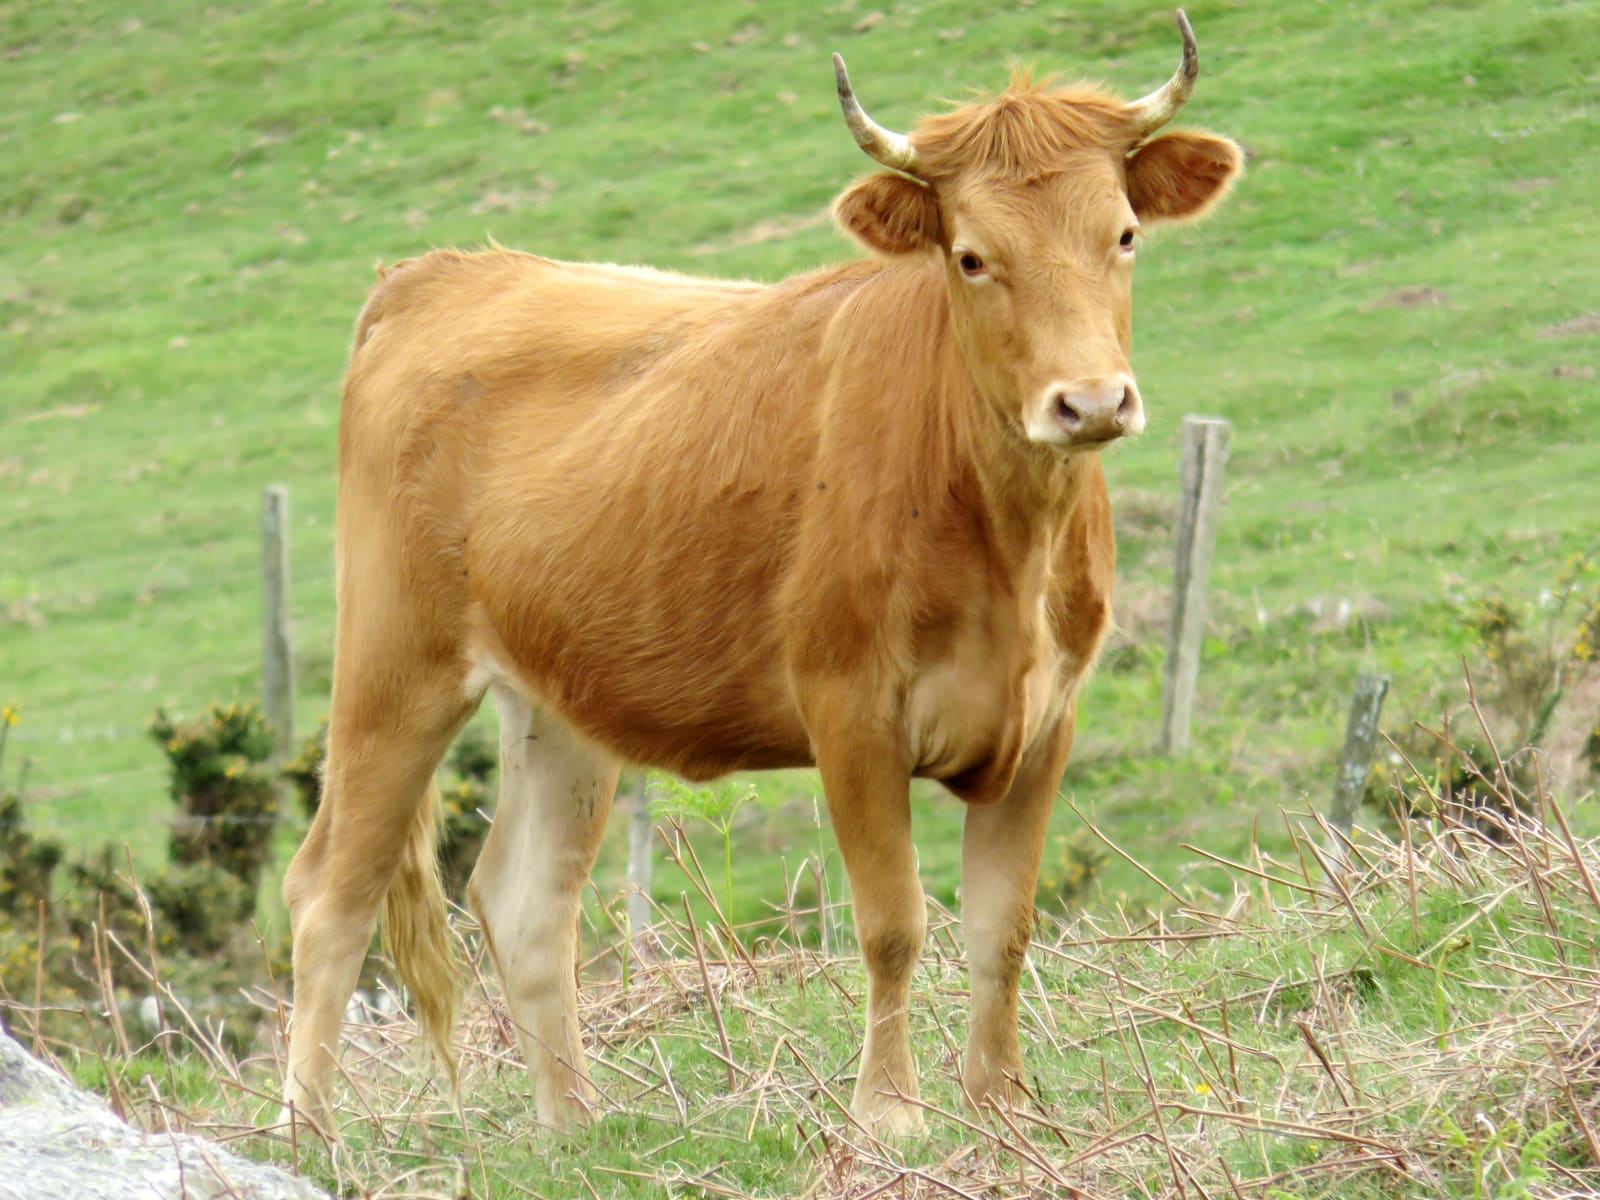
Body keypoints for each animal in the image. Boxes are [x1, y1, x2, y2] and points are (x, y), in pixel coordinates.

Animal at [282, 10, 1242, 1138]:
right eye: (971, 256)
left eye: (1123, 235)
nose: (1088, 402)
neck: (1004, 536)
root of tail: (438, 274)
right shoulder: (849, 708)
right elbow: (893, 924)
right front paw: (889, 1114)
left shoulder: (1048, 715)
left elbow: (1002, 927)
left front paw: (1004, 1105)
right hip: (395, 667)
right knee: (330, 898)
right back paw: (308, 1137)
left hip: (556, 699)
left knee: (523, 902)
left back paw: (575, 1128)